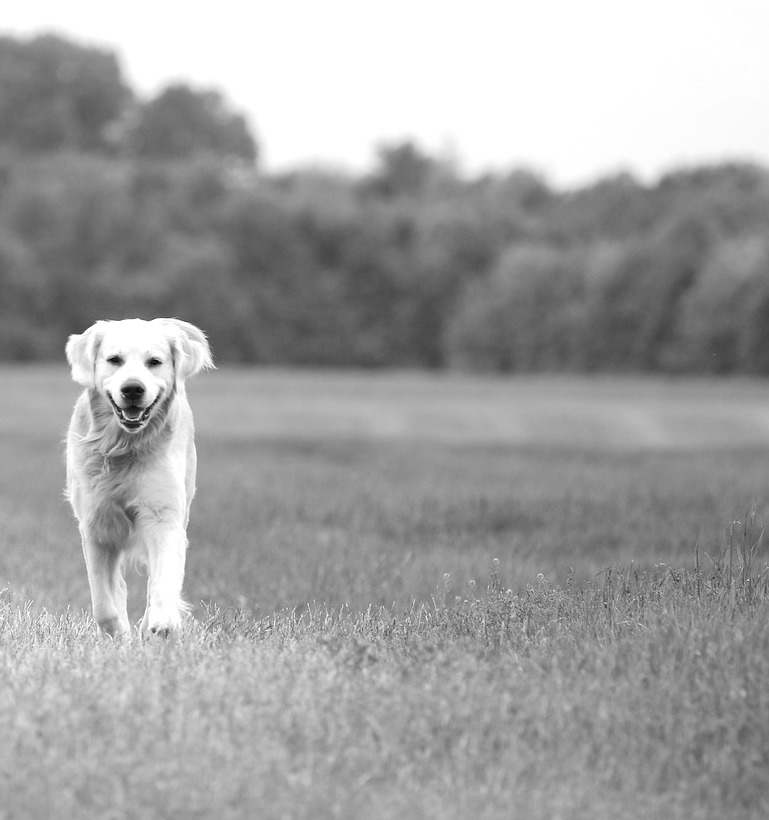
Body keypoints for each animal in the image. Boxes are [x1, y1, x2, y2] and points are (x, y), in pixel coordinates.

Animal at [65, 318, 213, 637]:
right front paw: (119, 635)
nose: (132, 389)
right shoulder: (96, 525)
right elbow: (104, 604)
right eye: (114, 360)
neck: (124, 446)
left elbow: (164, 576)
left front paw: (162, 621)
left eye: (154, 362)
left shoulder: (163, 515)